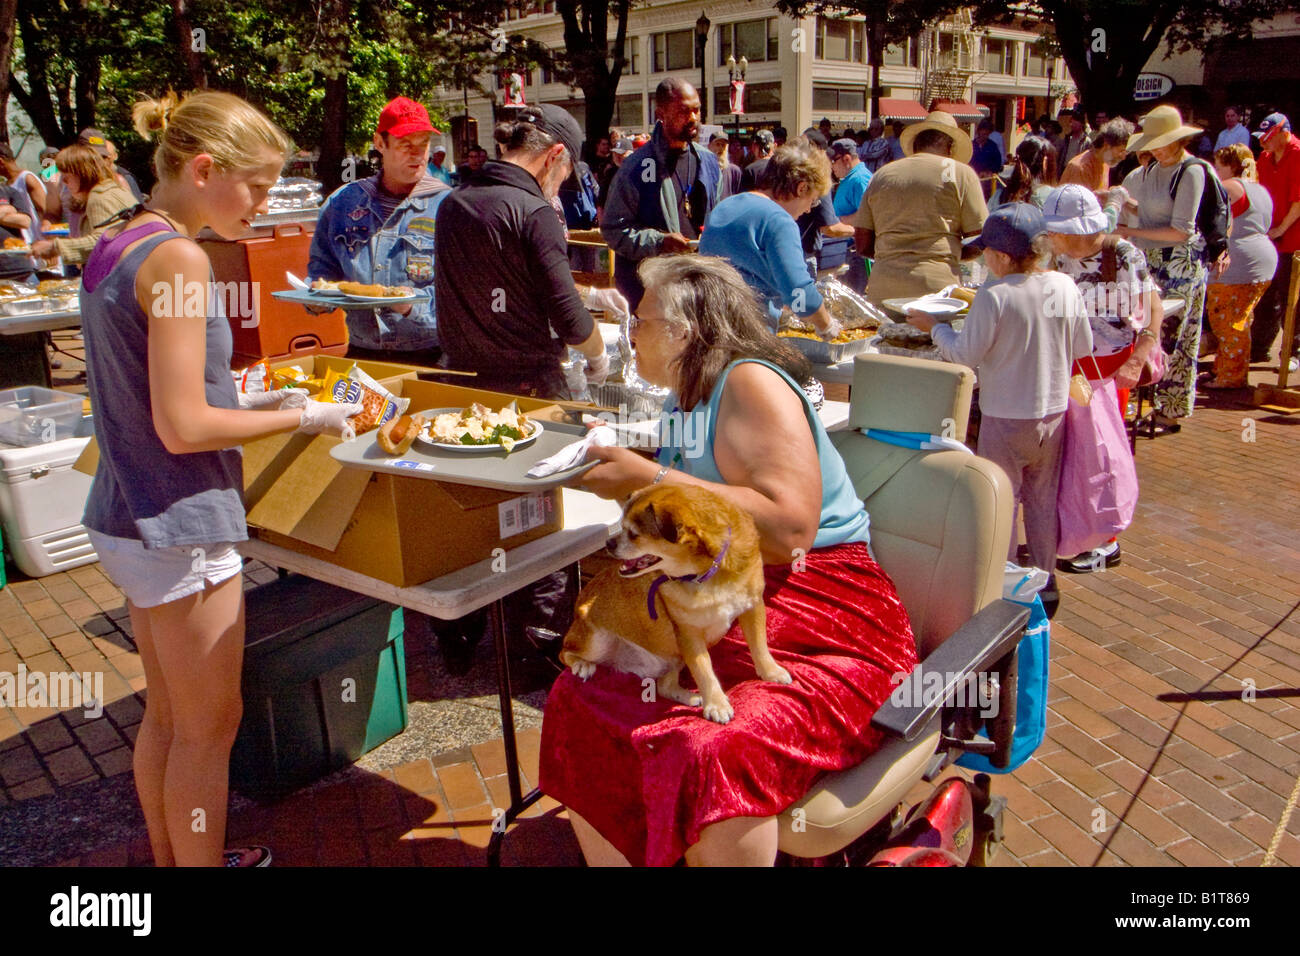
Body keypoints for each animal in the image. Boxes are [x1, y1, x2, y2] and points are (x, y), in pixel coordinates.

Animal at [559, 486, 790, 723]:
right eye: (621, 526)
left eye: (634, 534)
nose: (608, 543)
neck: (706, 573)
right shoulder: (689, 634)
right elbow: (704, 669)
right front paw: (716, 703)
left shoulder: (752, 606)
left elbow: (759, 645)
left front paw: (770, 671)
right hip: (595, 641)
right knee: (565, 652)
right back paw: (582, 664)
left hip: (674, 657)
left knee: (664, 686)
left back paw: (690, 697)